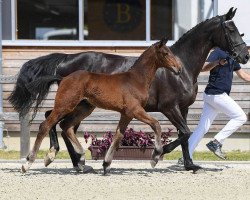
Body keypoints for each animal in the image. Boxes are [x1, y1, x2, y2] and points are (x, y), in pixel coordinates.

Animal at [20, 38, 181, 173]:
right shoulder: (135, 110)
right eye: (166, 53)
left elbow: (118, 136)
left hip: (84, 108)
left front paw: (106, 164)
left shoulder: (126, 114)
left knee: (66, 126)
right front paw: (155, 157)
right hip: (65, 105)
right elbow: (156, 124)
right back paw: (28, 163)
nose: (178, 69)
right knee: (46, 125)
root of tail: (63, 78)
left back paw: (81, 158)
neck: (136, 79)